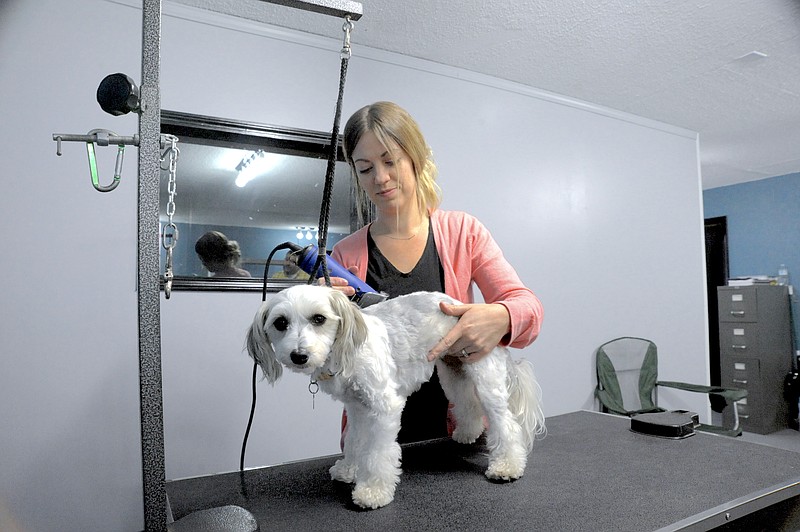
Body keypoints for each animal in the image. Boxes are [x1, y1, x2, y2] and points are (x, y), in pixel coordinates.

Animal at [244, 284, 544, 510]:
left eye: (319, 318)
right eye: (280, 323)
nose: (299, 355)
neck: (345, 349)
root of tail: (463, 305)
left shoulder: (384, 407)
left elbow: (378, 452)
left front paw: (372, 492)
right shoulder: (356, 408)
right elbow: (353, 440)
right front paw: (349, 469)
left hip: (484, 375)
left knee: (505, 422)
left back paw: (507, 466)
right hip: (453, 372)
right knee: (467, 404)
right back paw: (467, 433)